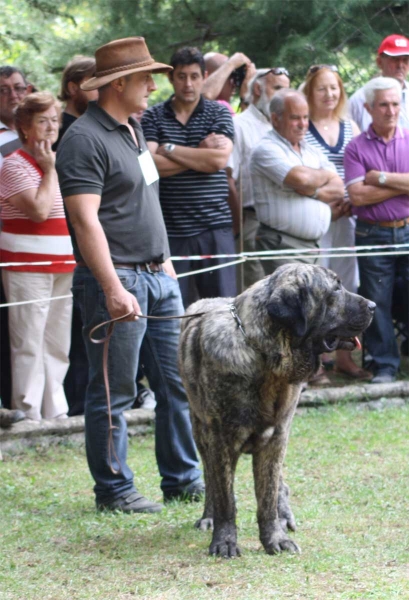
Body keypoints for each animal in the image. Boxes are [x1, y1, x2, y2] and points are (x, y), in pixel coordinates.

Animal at [177, 262, 374, 556]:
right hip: (200, 431)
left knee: (279, 483)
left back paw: (285, 515)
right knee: (211, 480)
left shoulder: (276, 436)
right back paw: (209, 517)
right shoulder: (220, 439)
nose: (373, 305)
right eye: (335, 289)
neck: (265, 358)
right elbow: (226, 498)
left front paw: (275, 538)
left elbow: (267, 496)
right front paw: (224, 541)